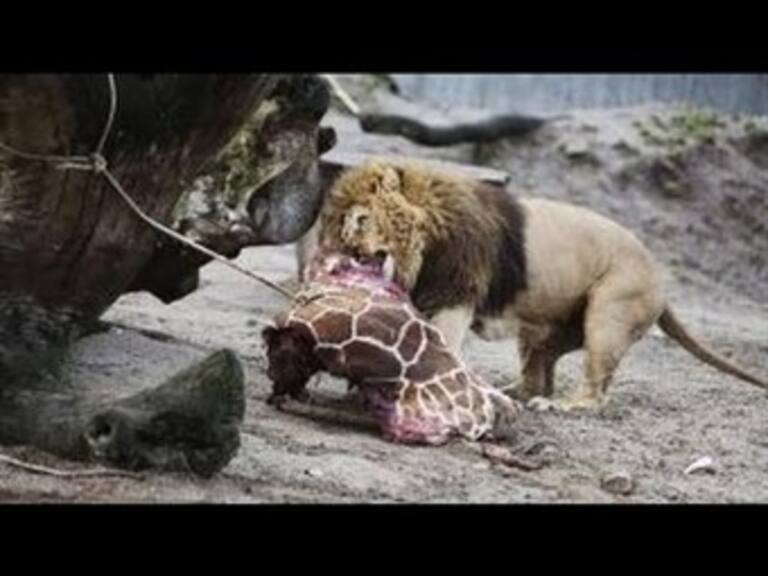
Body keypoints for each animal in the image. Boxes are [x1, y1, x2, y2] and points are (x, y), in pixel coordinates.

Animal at [297, 159, 767, 411]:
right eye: (335, 226)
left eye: (359, 219)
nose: (345, 249)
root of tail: (661, 282)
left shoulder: (457, 295)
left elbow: (441, 345)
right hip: (544, 334)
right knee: (535, 378)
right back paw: (509, 392)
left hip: (609, 314)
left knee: (593, 390)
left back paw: (559, 405)